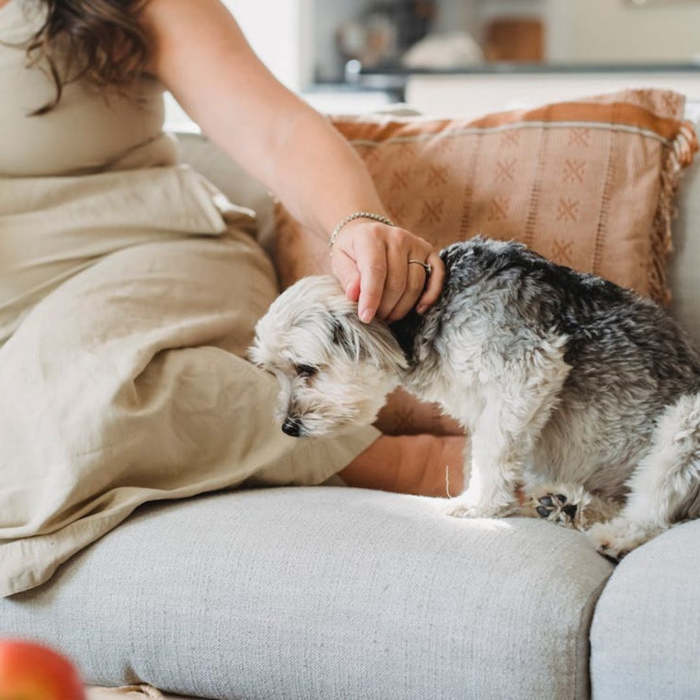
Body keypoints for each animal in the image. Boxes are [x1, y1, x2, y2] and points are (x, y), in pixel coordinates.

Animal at [252, 238, 700, 560]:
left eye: (305, 368)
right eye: (272, 372)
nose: (287, 427)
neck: (432, 311)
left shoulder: (527, 374)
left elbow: (492, 455)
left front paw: (479, 505)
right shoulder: (485, 407)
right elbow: (478, 455)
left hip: (686, 422)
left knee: (658, 507)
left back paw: (618, 534)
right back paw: (567, 504)